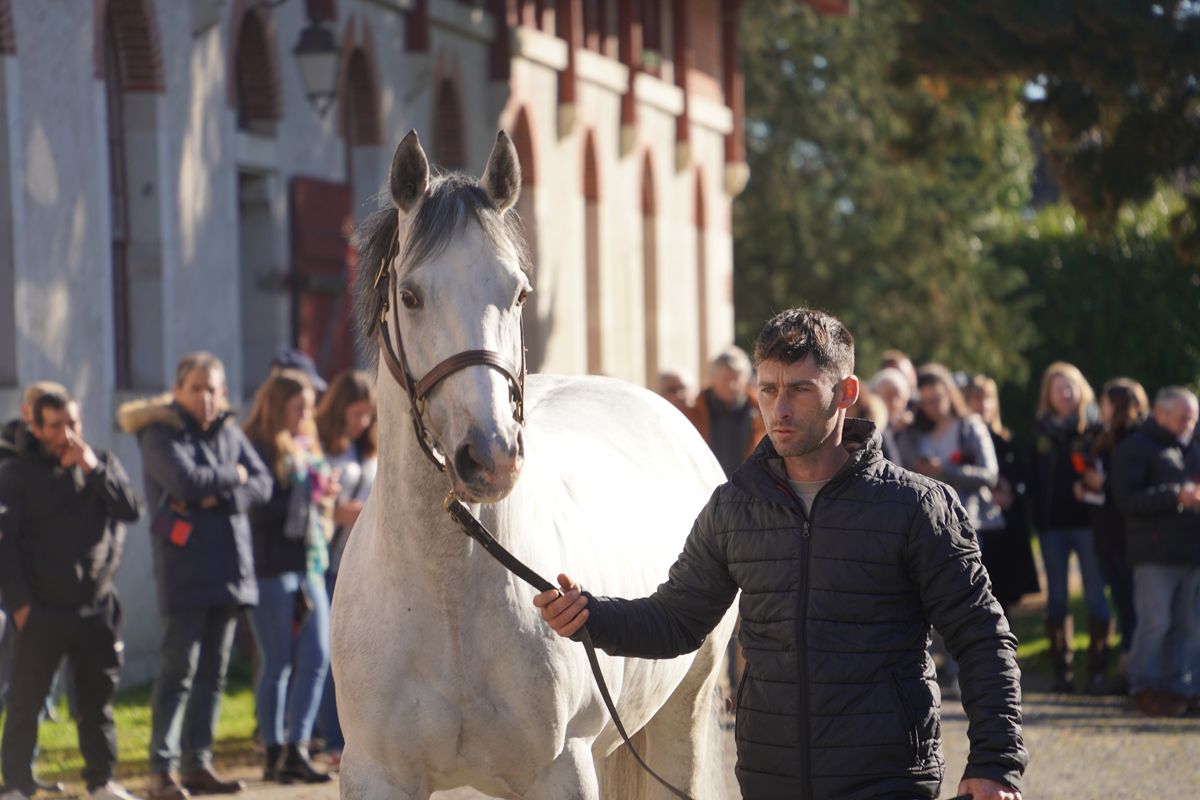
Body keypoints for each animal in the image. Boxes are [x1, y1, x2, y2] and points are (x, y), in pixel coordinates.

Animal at [330, 129, 737, 800]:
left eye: (519, 292)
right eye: (410, 295)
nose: (489, 456)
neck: (446, 593)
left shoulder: (561, 768)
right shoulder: (377, 775)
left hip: (683, 710)